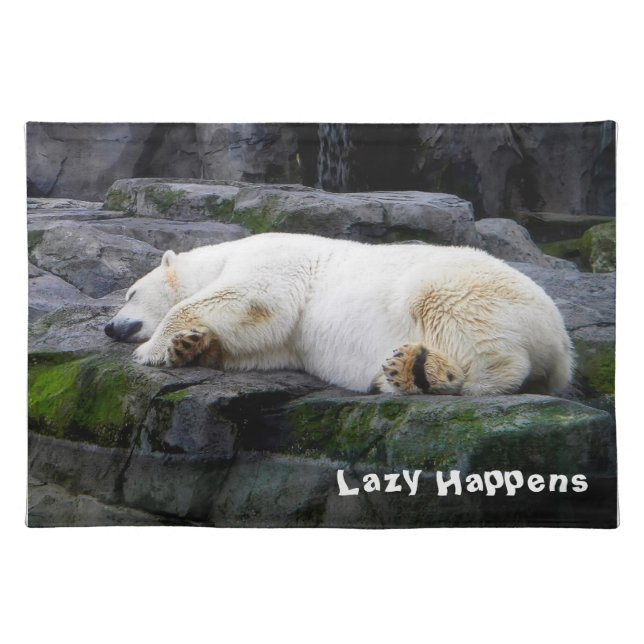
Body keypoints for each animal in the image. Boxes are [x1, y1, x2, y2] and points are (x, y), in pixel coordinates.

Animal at [105, 232, 573, 396]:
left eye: (130, 292)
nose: (109, 327)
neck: (222, 255)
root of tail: (562, 342)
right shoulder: (284, 341)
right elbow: (260, 341)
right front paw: (189, 346)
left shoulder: (274, 261)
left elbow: (253, 298)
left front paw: (153, 348)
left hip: (463, 287)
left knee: (460, 322)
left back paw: (429, 375)